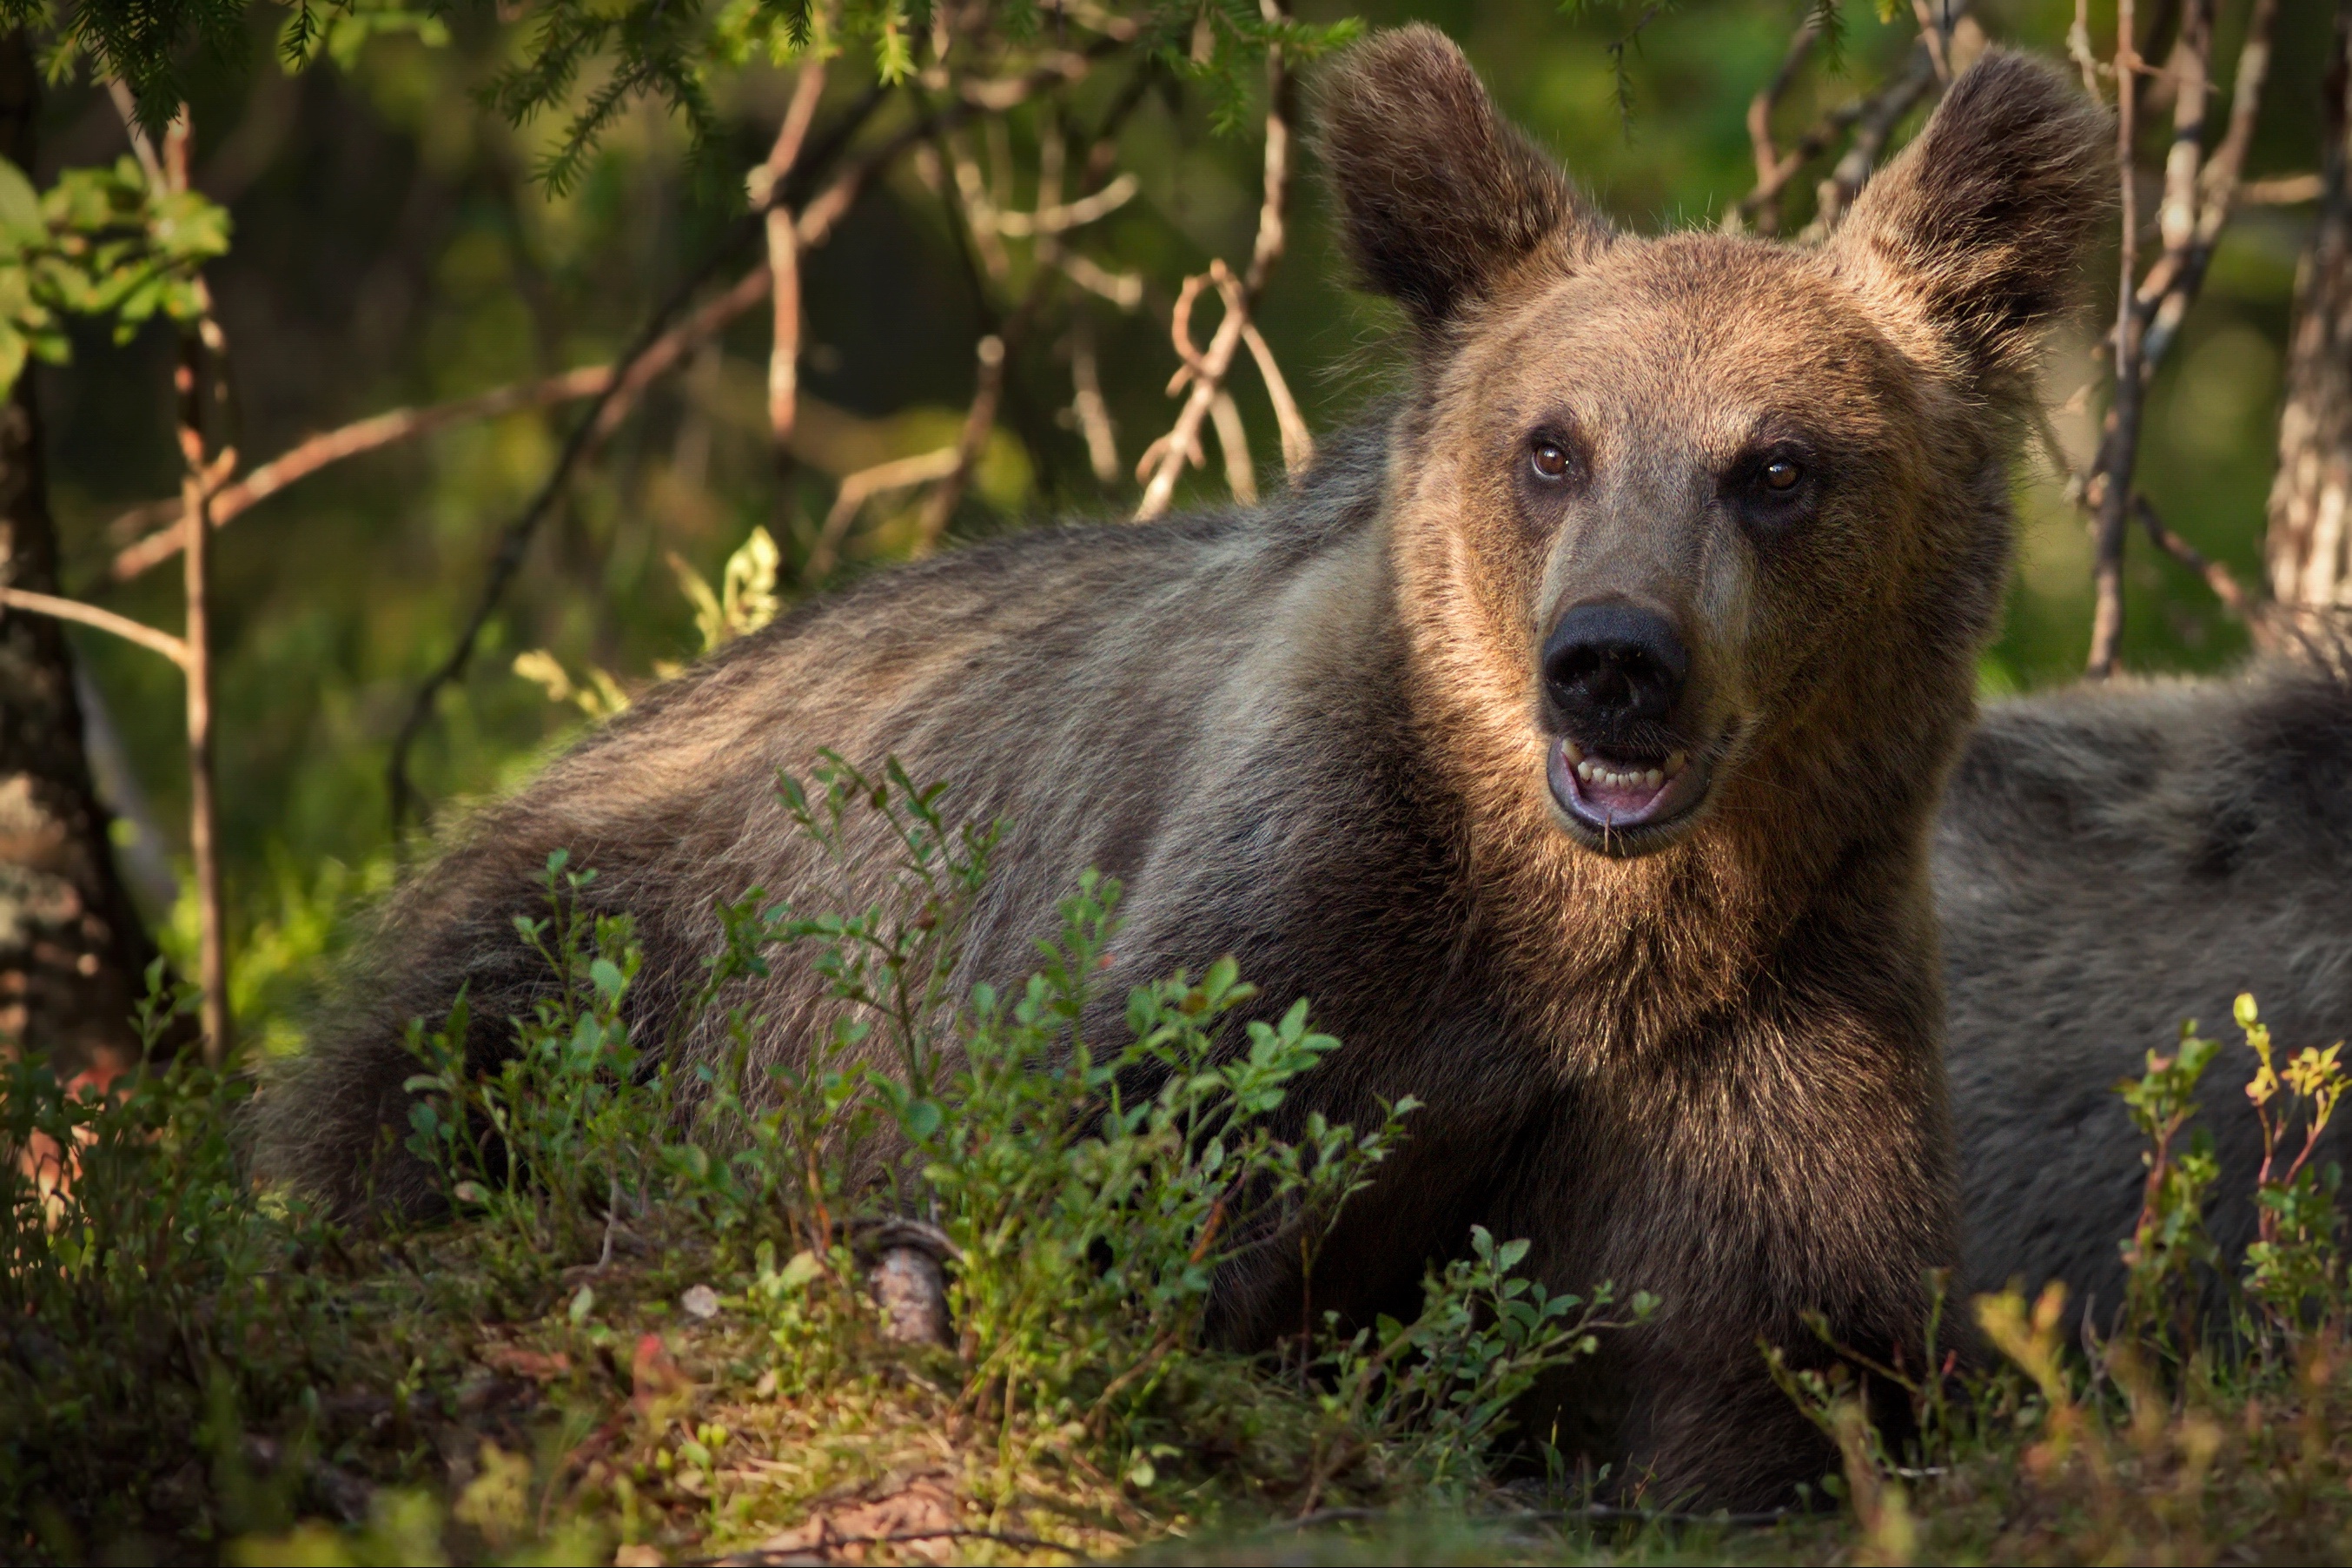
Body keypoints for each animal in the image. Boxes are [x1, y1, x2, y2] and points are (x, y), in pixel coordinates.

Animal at [262, 27, 2117, 1504]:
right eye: (1553, 444)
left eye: (1777, 465)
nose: (1612, 662)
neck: (1593, 940)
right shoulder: (1306, 907)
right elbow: (1129, 1160)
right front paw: (922, 1283)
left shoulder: (1775, 1024)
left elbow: (1768, 1379)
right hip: (600, 931)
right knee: (415, 1078)